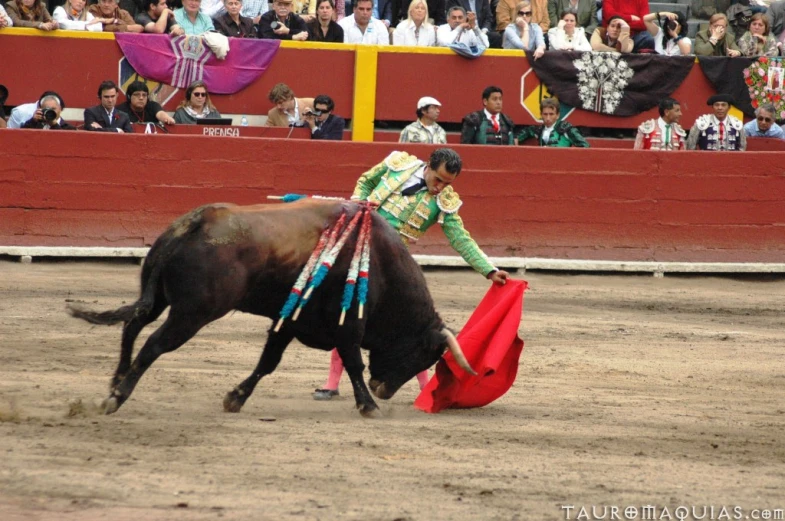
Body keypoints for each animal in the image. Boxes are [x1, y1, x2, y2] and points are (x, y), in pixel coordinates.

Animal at [69, 198, 472, 414]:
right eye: (424, 356)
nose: (384, 389)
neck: (382, 263)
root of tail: (196, 220)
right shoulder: (348, 326)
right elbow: (353, 361)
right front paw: (368, 406)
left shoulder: (289, 321)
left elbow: (268, 362)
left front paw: (235, 398)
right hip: (192, 313)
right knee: (153, 343)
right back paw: (116, 397)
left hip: (160, 298)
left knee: (133, 324)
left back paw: (116, 379)